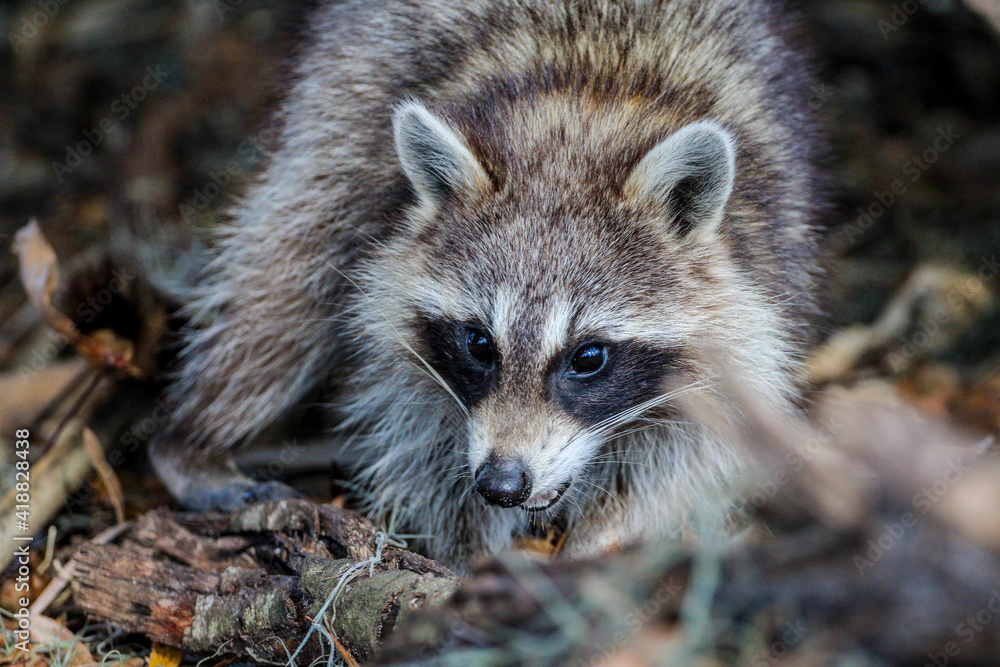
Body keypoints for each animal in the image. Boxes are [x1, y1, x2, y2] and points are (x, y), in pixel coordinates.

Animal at [153, 0, 827, 571]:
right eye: (479, 343)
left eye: (589, 357)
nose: (502, 485)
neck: (587, 104)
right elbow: (420, 439)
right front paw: (468, 558)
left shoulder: (758, 279)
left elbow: (694, 454)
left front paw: (604, 536)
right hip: (340, 110)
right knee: (287, 273)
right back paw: (190, 442)